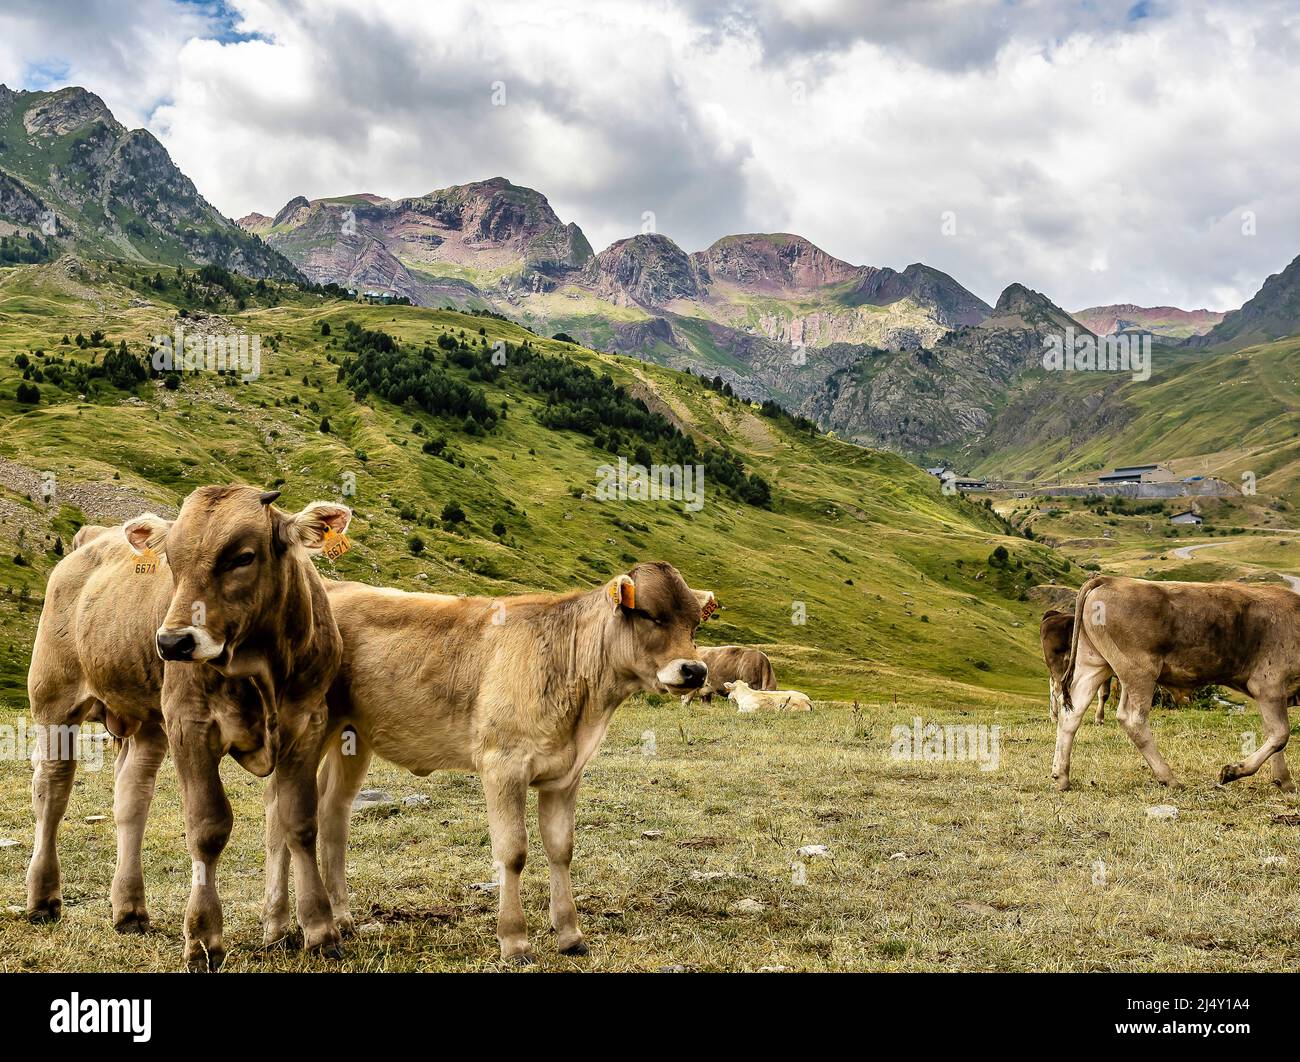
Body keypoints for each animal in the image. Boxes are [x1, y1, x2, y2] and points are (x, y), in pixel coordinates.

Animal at [29, 483, 353, 967]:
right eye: (172, 560)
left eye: (242, 557)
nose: (172, 642)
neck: (260, 665)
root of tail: (90, 538)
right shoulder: (190, 726)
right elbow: (207, 827)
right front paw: (203, 937)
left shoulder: (307, 726)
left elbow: (300, 823)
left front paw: (320, 929)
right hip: (54, 705)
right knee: (52, 794)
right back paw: (43, 899)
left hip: (148, 723)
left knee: (132, 798)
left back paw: (129, 909)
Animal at [1055, 577, 1300, 790]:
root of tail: (1110, 579)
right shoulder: (1269, 685)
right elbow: (1280, 735)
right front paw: (1233, 771)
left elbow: (1272, 733)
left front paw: (1283, 780)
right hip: (1140, 671)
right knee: (1133, 720)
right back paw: (1169, 778)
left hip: (1094, 663)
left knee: (1071, 714)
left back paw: (1061, 777)